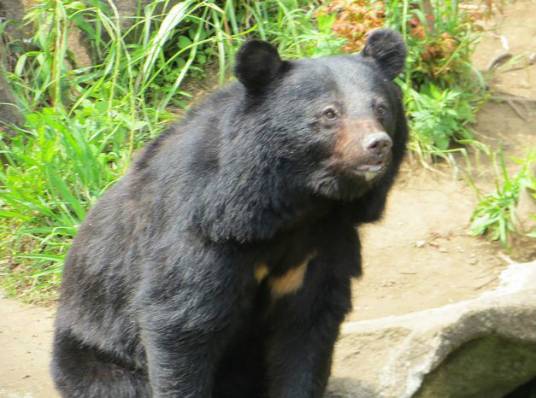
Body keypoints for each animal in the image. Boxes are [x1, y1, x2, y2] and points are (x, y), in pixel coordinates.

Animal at [52, 28, 408, 398]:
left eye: (381, 108)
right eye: (329, 114)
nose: (377, 144)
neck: (297, 204)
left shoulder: (323, 242)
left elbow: (307, 327)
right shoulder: (203, 232)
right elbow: (181, 322)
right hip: (97, 353)